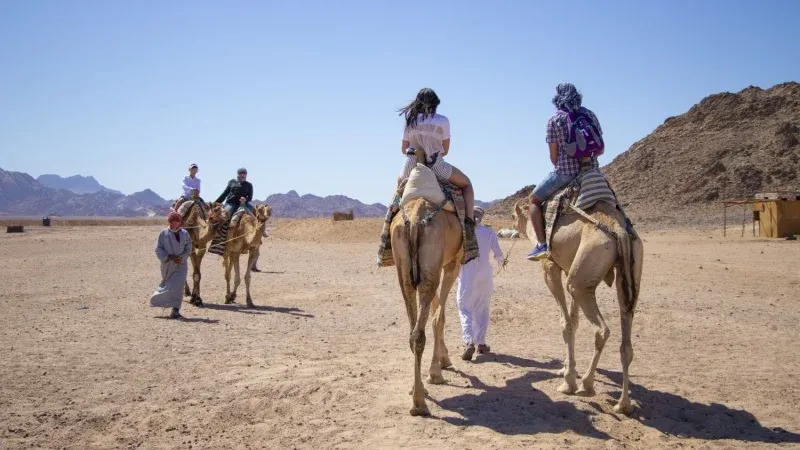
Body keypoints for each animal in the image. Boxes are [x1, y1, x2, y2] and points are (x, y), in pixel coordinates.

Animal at [392, 187, 466, 418]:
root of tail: (416, 220)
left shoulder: (439, 266)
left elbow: (435, 312)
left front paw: (441, 362)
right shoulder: (451, 265)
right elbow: (439, 317)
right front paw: (437, 371)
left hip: (407, 273)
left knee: (413, 332)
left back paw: (418, 392)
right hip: (432, 269)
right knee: (420, 332)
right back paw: (419, 403)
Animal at [512, 199, 644, 416]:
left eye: (513, 216)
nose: (513, 228)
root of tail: (619, 230)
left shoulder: (551, 267)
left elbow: (566, 323)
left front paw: (568, 381)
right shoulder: (568, 268)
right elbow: (574, 321)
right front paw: (566, 370)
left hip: (581, 282)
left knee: (601, 329)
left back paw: (586, 385)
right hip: (630, 273)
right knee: (626, 341)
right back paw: (623, 405)